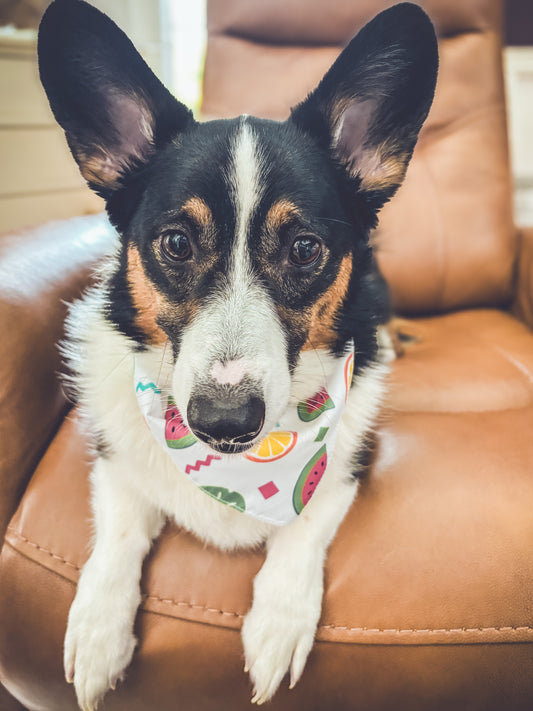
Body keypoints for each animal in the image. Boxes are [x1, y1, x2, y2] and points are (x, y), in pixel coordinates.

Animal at [36, 1, 436, 708]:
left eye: (304, 249)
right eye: (175, 243)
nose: (224, 425)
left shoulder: (349, 466)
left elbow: (305, 525)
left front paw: (277, 625)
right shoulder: (114, 462)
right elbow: (117, 535)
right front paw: (98, 632)